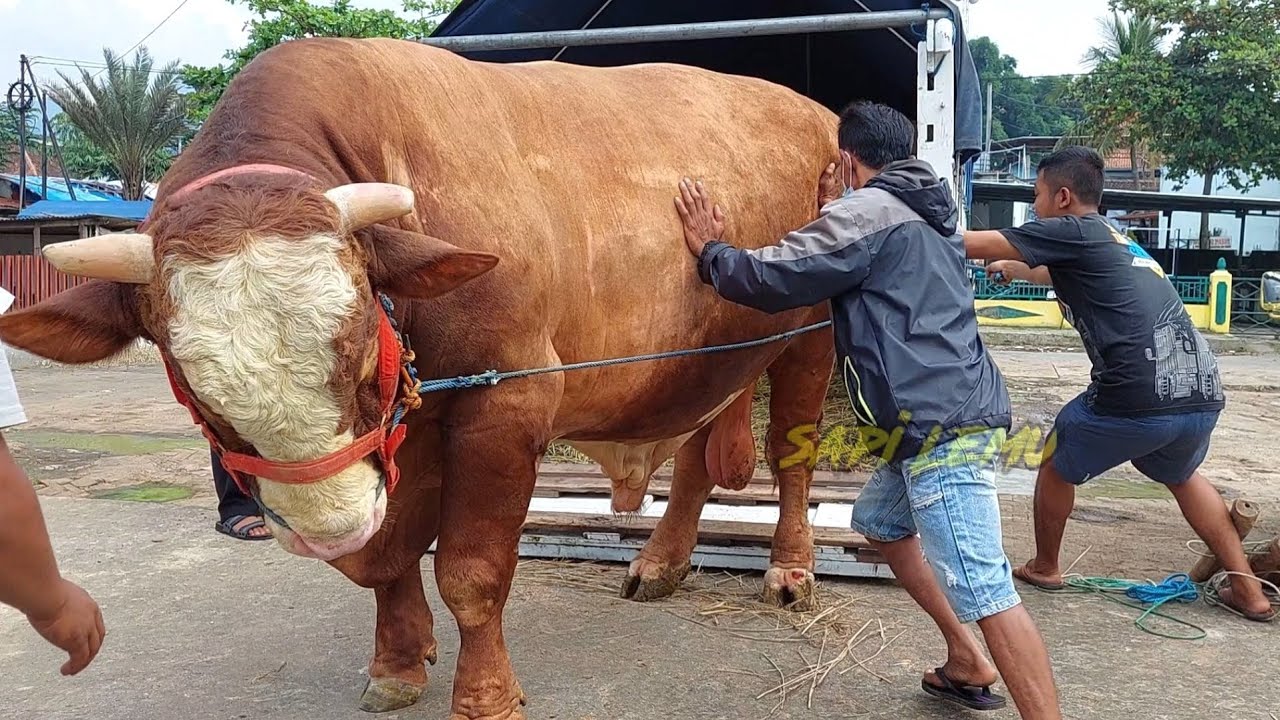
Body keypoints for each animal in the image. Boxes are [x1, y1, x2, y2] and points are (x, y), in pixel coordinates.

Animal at [0, 38, 838, 717]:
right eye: (194, 387)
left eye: (358, 347)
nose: (330, 528)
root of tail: (811, 110)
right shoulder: (408, 437)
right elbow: (390, 559)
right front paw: (398, 665)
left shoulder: (506, 401)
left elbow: (471, 571)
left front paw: (486, 697)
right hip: (710, 359)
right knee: (697, 454)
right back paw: (660, 562)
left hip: (811, 334)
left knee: (791, 455)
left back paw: (790, 570)